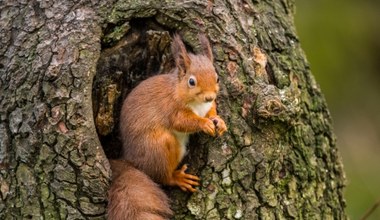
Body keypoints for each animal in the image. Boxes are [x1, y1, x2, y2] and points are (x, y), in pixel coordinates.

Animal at [107, 34, 226, 220]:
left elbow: (212, 111)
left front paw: (219, 121)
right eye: (191, 81)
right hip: (159, 147)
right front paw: (204, 124)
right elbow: (182, 122)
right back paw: (178, 178)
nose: (209, 97)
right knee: (162, 177)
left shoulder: (207, 106)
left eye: (217, 78)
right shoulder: (172, 108)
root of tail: (131, 160)